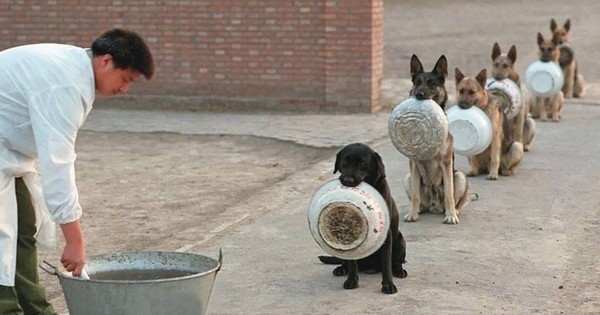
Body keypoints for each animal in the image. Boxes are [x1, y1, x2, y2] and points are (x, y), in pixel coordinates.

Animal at [318, 144, 408, 296]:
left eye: (362, 164)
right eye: (344, 162)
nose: (347, 181)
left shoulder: (386, 235)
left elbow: (386, 263)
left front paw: (388, 285)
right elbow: (352, 263)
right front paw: (351, 280)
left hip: (400, 240)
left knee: (396, 261)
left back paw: (399, 270)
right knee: (346, 262)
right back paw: (341, 268)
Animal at [406, 56, 472, 225]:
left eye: (432, 83)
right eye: (417, 82)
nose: (418, 94)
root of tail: (434, 205)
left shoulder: (446, 163)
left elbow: (449, 193)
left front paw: (451, 216)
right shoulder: (414, 164)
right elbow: (415, 194)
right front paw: (412, 213)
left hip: (459, 176)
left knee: (457, 200)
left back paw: (454, 211)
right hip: (408, 177)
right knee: (419, 199)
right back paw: (419, 210)